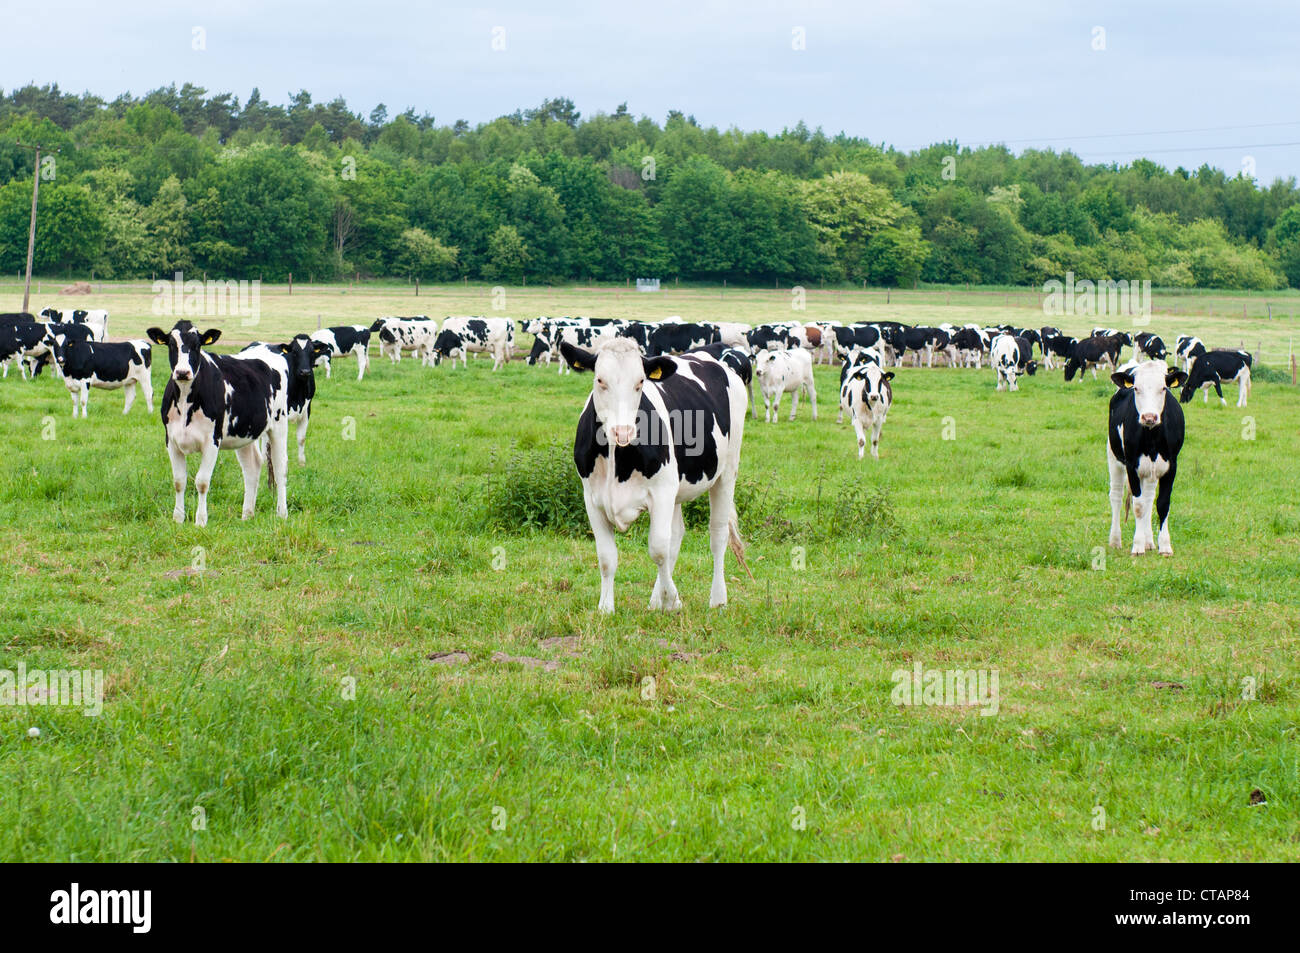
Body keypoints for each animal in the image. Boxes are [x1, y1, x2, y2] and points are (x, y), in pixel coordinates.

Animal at [146, 321, 291, 526]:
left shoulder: (212, 440)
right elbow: (179, 481)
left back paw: (282, 513)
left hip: (279, 424)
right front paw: (178, 518)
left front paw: (200, 521)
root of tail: (268, 346)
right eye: (171, 345)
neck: (185, 400)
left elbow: (202, 482)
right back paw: (247, 514)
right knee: (252, 466)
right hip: (244, 433)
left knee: (280, 468)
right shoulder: (171, 440)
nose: (182, 372)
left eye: (197, 346)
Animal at [559, 336, 749, 613]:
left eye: (640, 382)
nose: (623, 431)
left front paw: (672, 600)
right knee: (677, 535)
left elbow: (658, 549)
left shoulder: (661, 492)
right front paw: (606, 608)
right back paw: (655, 600)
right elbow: (606, 557)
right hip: (677, 489)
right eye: (600, 380)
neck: (617, 459)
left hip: (726, 472)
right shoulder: (591, 498)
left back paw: (717, 598)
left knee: (717, 534)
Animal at [1107, 361, 1188, 556]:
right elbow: (1138, 506)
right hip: (1114, 457)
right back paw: (1115, 540)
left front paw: (1164, 545)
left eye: (1164, 388)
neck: (1152, 438)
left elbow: (1162, 503)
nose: (1149, 417)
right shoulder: (1132, 466)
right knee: (1116, 495)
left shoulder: (1171, 466)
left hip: (1151, 470)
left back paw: (1149, 541)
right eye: (1136, 388)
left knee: (1149, 498)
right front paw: (1137, 546)